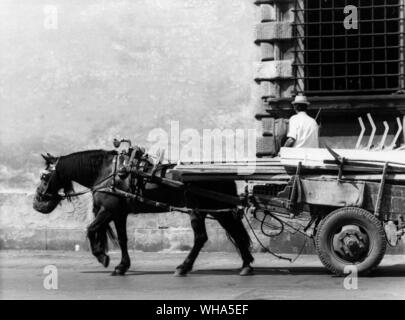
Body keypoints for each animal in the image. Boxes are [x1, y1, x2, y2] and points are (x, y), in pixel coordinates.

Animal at [33, 149, 252, 276]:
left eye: (44, 176)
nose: (37, 203)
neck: (108, 172)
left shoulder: (108, 210)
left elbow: (91, 229)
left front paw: (102, 256)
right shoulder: (119, 213)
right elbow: (122, 239)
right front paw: (122, 266)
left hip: (197, 210)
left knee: (201, 237)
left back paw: (184, 267)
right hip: (218, 210)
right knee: (236, 232)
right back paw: (246, 264)